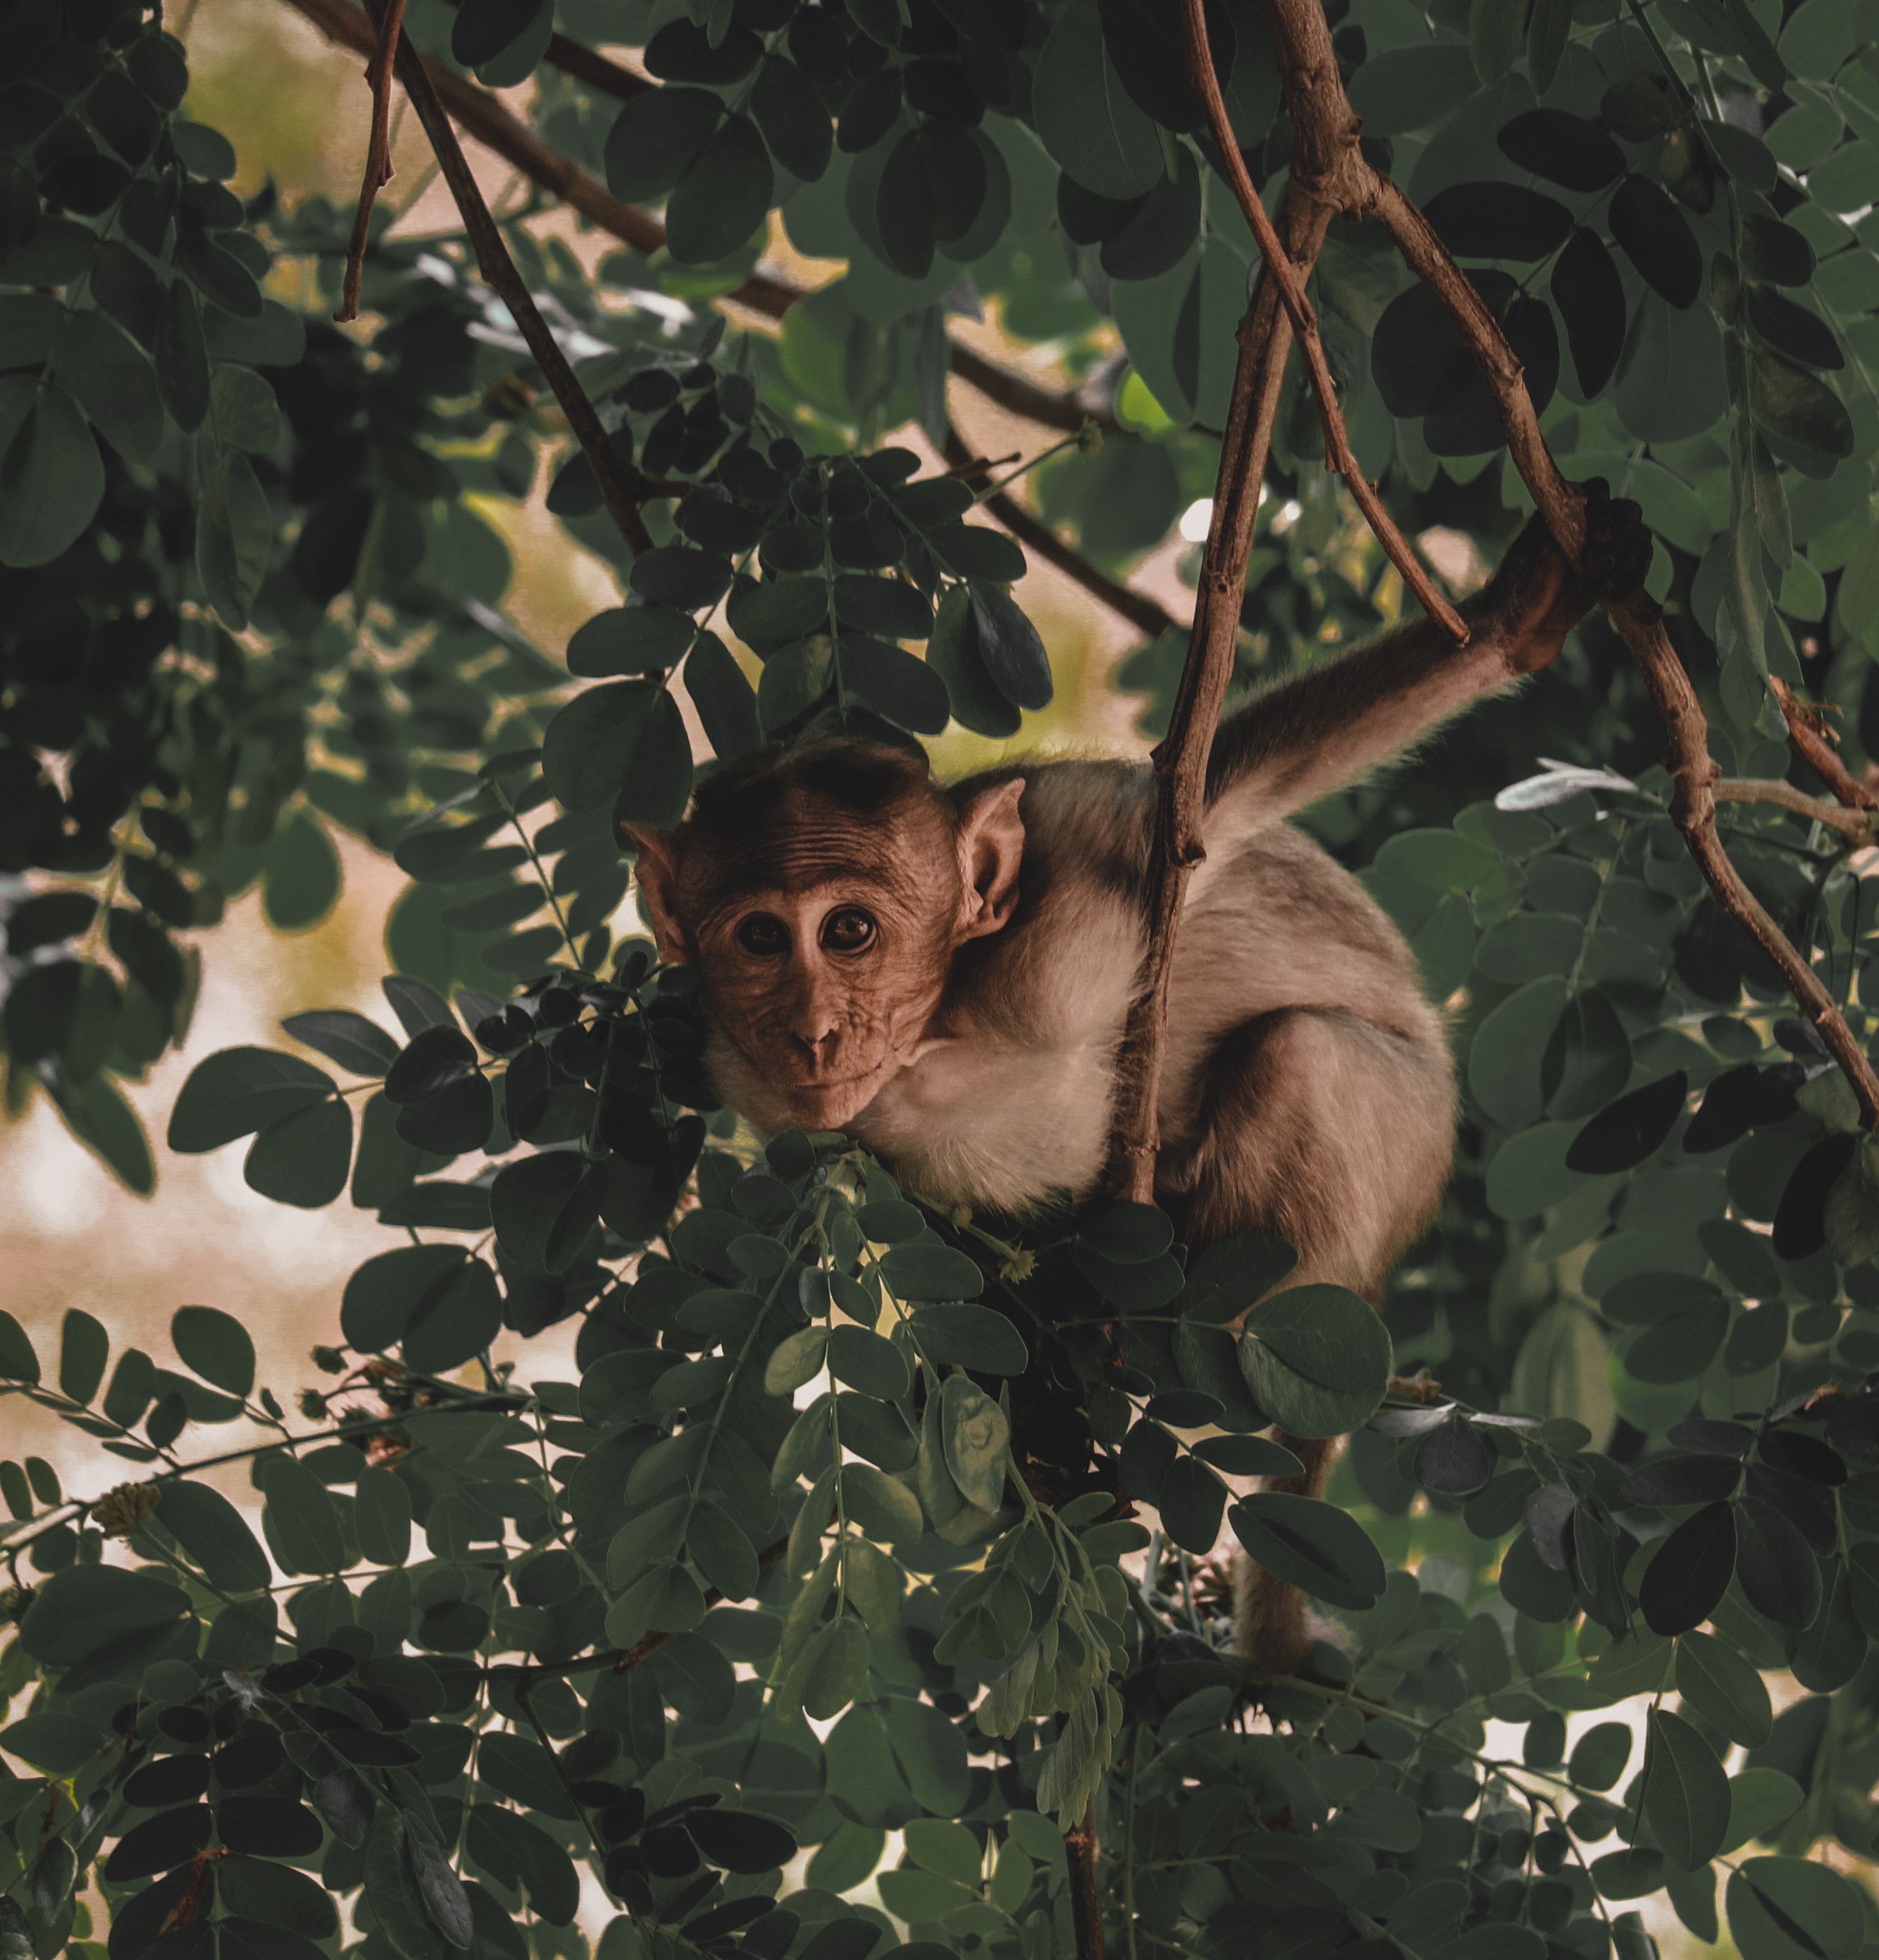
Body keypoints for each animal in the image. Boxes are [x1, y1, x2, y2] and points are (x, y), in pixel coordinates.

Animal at [628, 482, 1651, 1673]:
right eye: (756, 937)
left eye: (848, 930)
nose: (814, 1032)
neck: (937, 1036)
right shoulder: (757, 1077)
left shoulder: (1078, 883)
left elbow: (1224, 795)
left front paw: (1509, 618)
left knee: (1302, 1055)